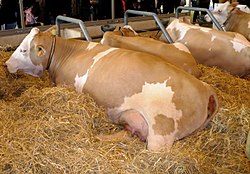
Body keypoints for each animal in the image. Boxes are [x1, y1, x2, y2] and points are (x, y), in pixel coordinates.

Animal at [4, 27, 218, 150]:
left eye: (23, 50)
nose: (6, 64)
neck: (67, 53)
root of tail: (205, 88)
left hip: (161, 132)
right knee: (131, 132)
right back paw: (100, 137)